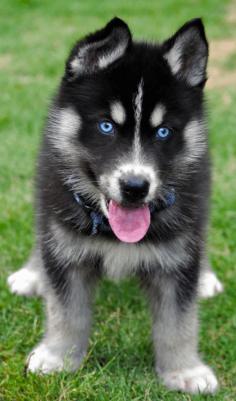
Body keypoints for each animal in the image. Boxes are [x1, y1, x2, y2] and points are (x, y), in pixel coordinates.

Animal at [8, 18, 223, 390]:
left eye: (164, 132)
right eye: (106, 125)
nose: (135, 187)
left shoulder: (176, 258)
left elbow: (178, 322)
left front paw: (184, 370)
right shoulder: (67, 250)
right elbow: (65, 312)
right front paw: (58, 357)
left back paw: (205, 277)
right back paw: (33, 273)